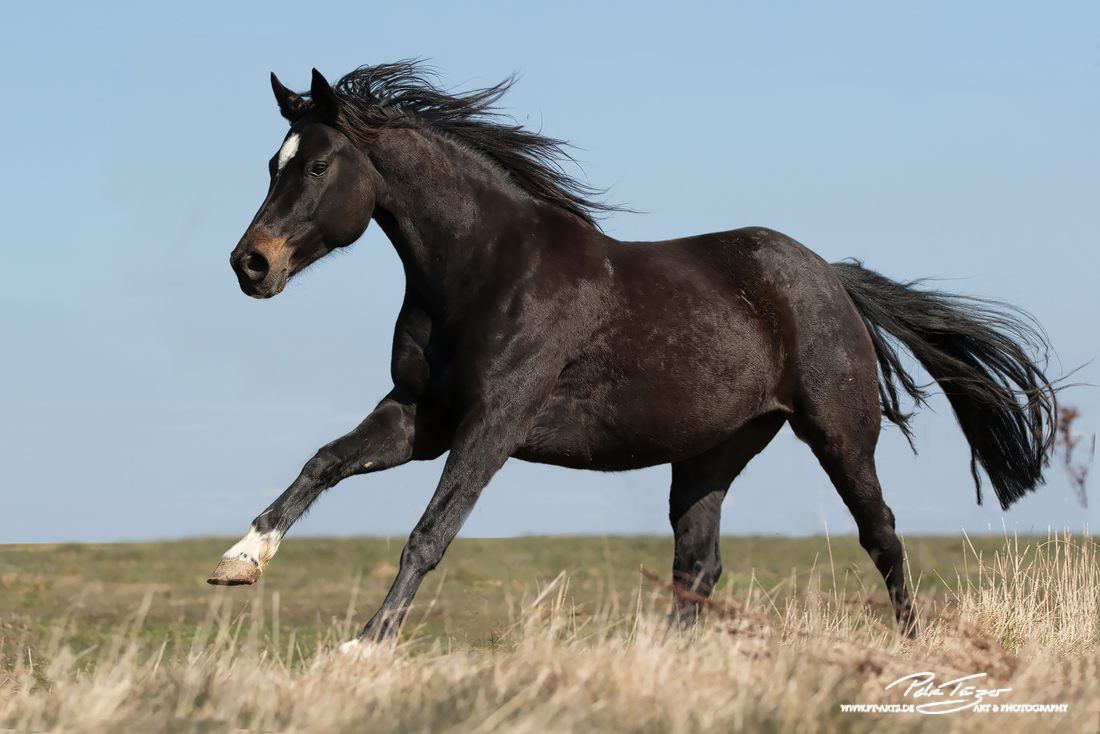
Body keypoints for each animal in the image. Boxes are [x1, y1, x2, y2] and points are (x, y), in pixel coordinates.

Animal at [206, 64, 1056, 647]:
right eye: (273, 164)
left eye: (318, 165)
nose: (251, 264)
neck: (482, 268)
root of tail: (831, 279)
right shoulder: (421, 418)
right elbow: (323, 462)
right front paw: (240, 560)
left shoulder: (493, 422)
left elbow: (431, 530)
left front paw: (367, 644)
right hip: (712, 451)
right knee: (698, 566)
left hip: (840, 432)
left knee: (881, 536)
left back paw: (913, 651)